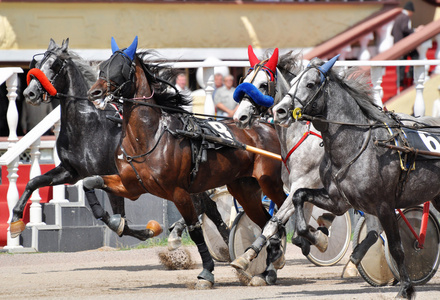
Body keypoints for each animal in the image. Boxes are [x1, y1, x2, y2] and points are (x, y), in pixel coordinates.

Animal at [84, 37, 288, 288]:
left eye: (120, 68)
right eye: (103, 66)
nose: (95, 92)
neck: (150, 137)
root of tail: (268, 127)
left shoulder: (178, 191)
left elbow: (195, 230)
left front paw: (207, 273)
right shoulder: (131, 186)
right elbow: (89, 182)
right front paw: (125, 226)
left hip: (270, 182)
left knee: (282, 212)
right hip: (244, 189)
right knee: (266, 220)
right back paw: (267, 269)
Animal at [232, 47, 380, 278]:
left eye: (263, 85)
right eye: (245, 80)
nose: (240, 116)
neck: (300, 136)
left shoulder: (302, 184)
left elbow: (274, 222)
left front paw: (249, 257)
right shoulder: (299, 190)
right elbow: (294, 231)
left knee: (375, 228)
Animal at [274, 55, 440, 298]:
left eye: (310, 84)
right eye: (293, 81)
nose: (279, 111)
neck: (357, 145)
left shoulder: (384, 205)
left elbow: (396, 247)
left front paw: (406, 288)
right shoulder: (338, 200)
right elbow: (299, 197)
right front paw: (314, 238)